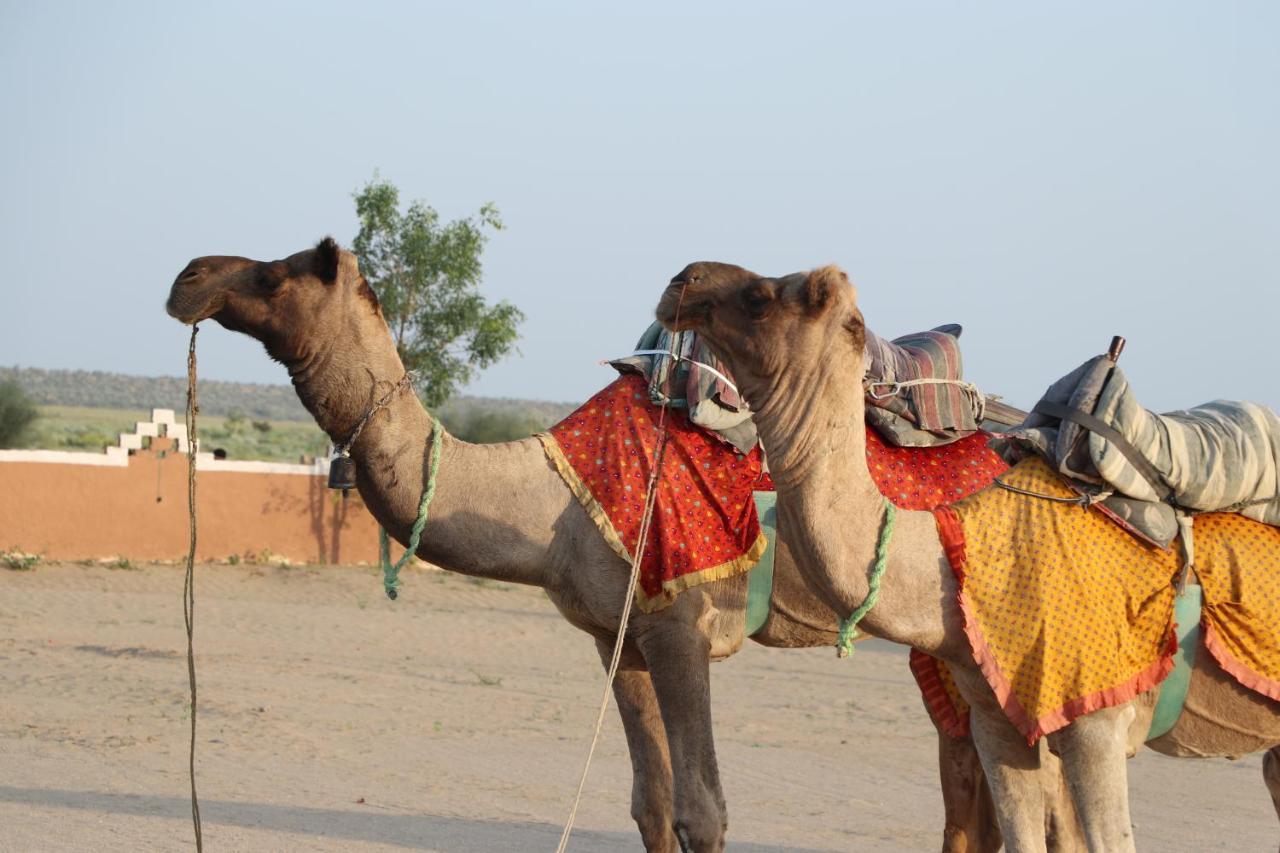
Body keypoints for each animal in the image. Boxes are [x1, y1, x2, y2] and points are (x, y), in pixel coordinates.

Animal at [162, 235, 1059, 845]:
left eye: (274, 273)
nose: (187, 275)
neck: (548, 501)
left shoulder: (681, 624)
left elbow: (703, 809)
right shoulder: (613, 636)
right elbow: (649, 803)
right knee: (973, 779)